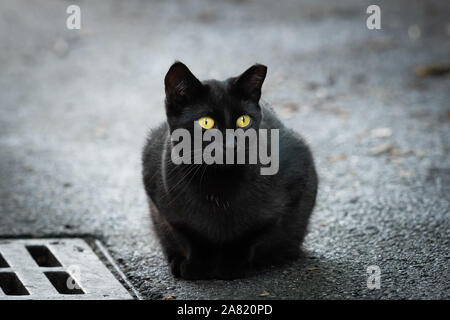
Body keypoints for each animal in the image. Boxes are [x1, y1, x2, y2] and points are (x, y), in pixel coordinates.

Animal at [142, 61, 318, 278]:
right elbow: (193, 236)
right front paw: (196, 267)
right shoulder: (165, 206)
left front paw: (232, 266)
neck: (218, 184)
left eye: (243, 120)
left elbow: (248, 235)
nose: (231, 144)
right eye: (206, 122)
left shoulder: (294, 181)